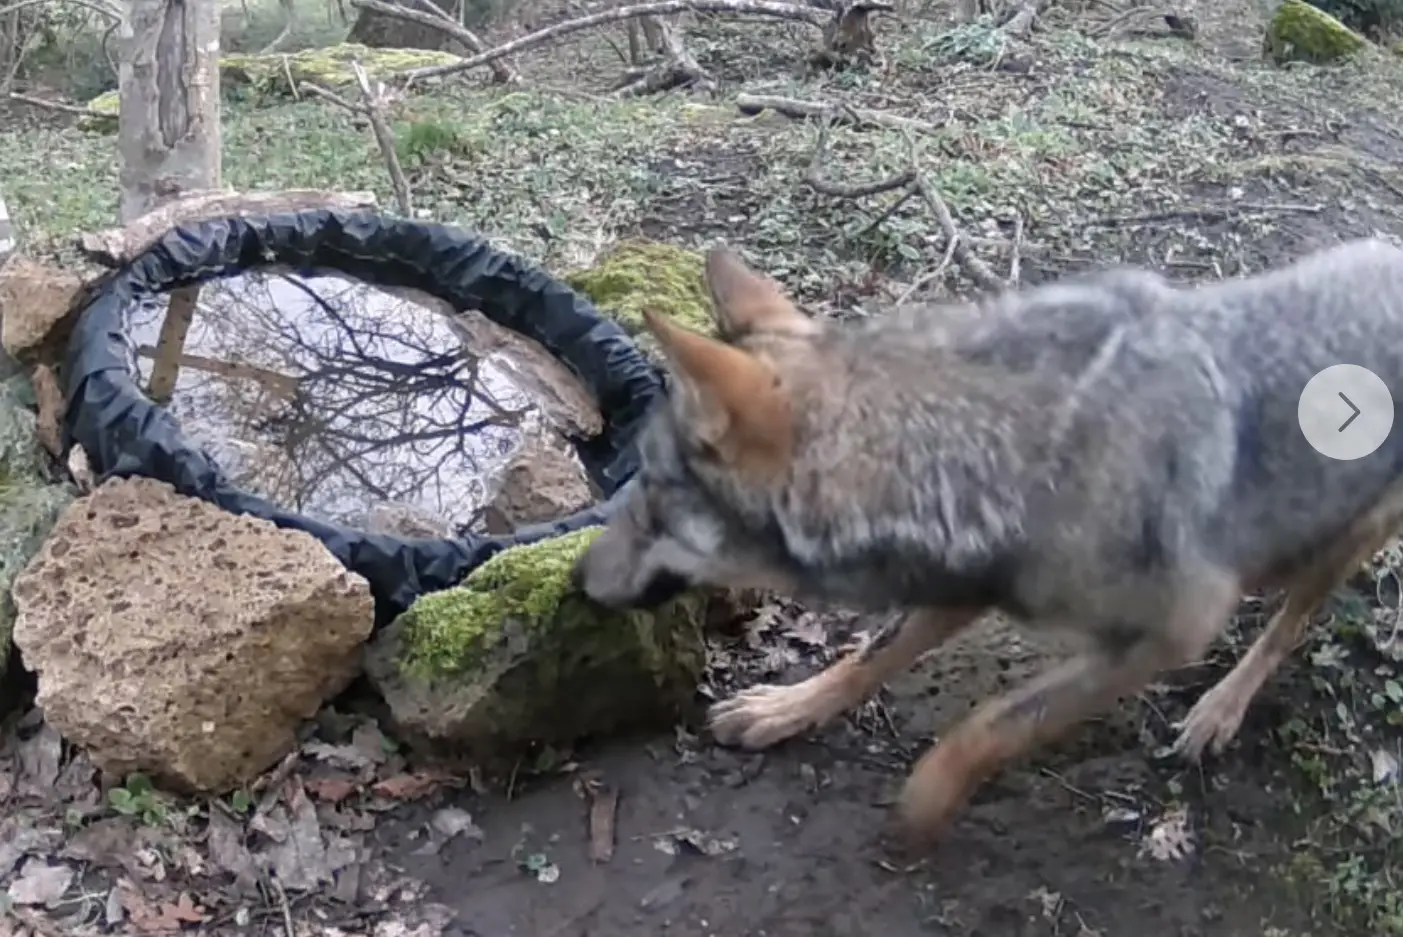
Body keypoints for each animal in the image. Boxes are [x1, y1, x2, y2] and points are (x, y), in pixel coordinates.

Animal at [572, 239, 1403, 850]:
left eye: (650, 496)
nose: (576, 579)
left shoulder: (1170, 631)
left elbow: (991, 725)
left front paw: (922, 806)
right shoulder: (963, 580)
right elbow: (866, 655)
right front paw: (786, 707)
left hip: (1345, 535)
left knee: (1289, 621)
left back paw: (1220, 708)